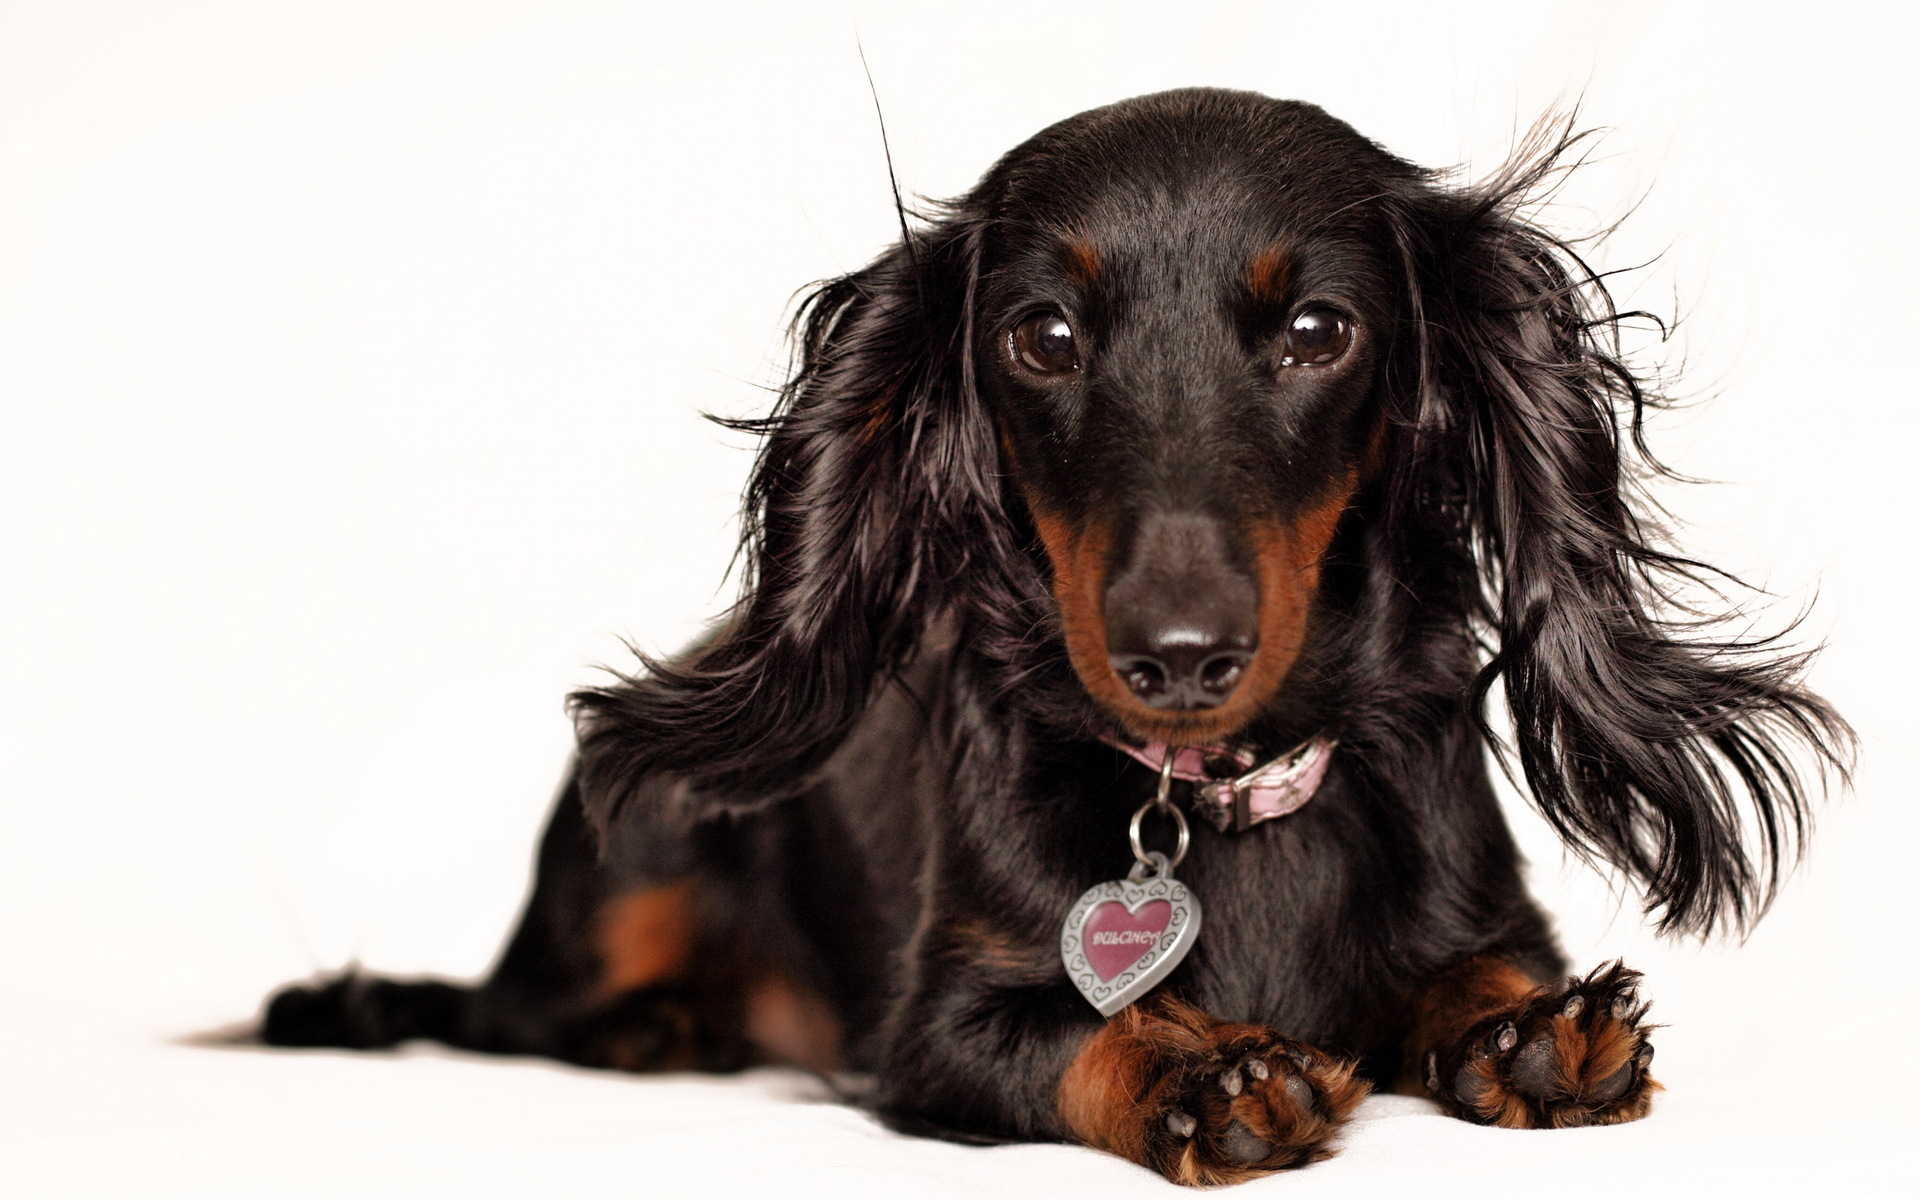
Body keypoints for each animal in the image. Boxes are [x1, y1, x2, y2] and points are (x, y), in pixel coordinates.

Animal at [259, 88, 1843, 1182]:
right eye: (1045, 336)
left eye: (1320, 330)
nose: (1180, 655)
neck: (1222, 798)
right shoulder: (936, 1029)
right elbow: (1075, 1034)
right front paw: (1201, 1077)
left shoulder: (1485, 907)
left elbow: (1480, 972)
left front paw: (1531, 1032)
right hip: (630, 864)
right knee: (514, 1014)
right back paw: (654, 1028)